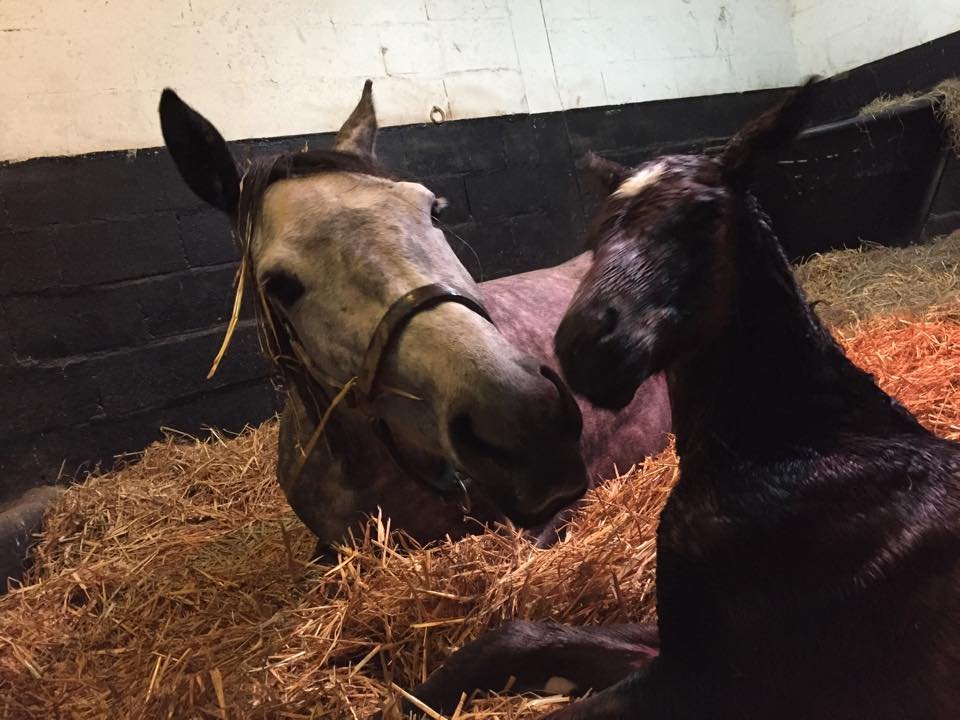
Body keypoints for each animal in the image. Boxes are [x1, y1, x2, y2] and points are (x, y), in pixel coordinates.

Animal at [398, 80, 960, 719]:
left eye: (704, 214)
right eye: (598, 234)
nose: (585, 345)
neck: (800, 442)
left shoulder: (718, 678)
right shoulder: (683, 644)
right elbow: (525, 634)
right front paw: (421, 693)